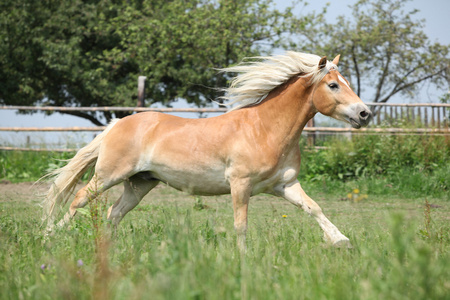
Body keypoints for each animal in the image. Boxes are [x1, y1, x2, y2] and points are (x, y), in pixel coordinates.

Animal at [42, 51, 372, 248]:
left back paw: (106, 247)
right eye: (333, 85)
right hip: (109, 175)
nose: (365, 114)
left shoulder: (284, 185)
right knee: (78, 200)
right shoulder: (240, 185)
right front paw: (243, 258)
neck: (264, 129)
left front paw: (341, 240)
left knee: (114, 213)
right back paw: (51, 235)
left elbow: (313, 207)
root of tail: (117, 123)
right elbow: (241, 225)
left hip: (139, 184)